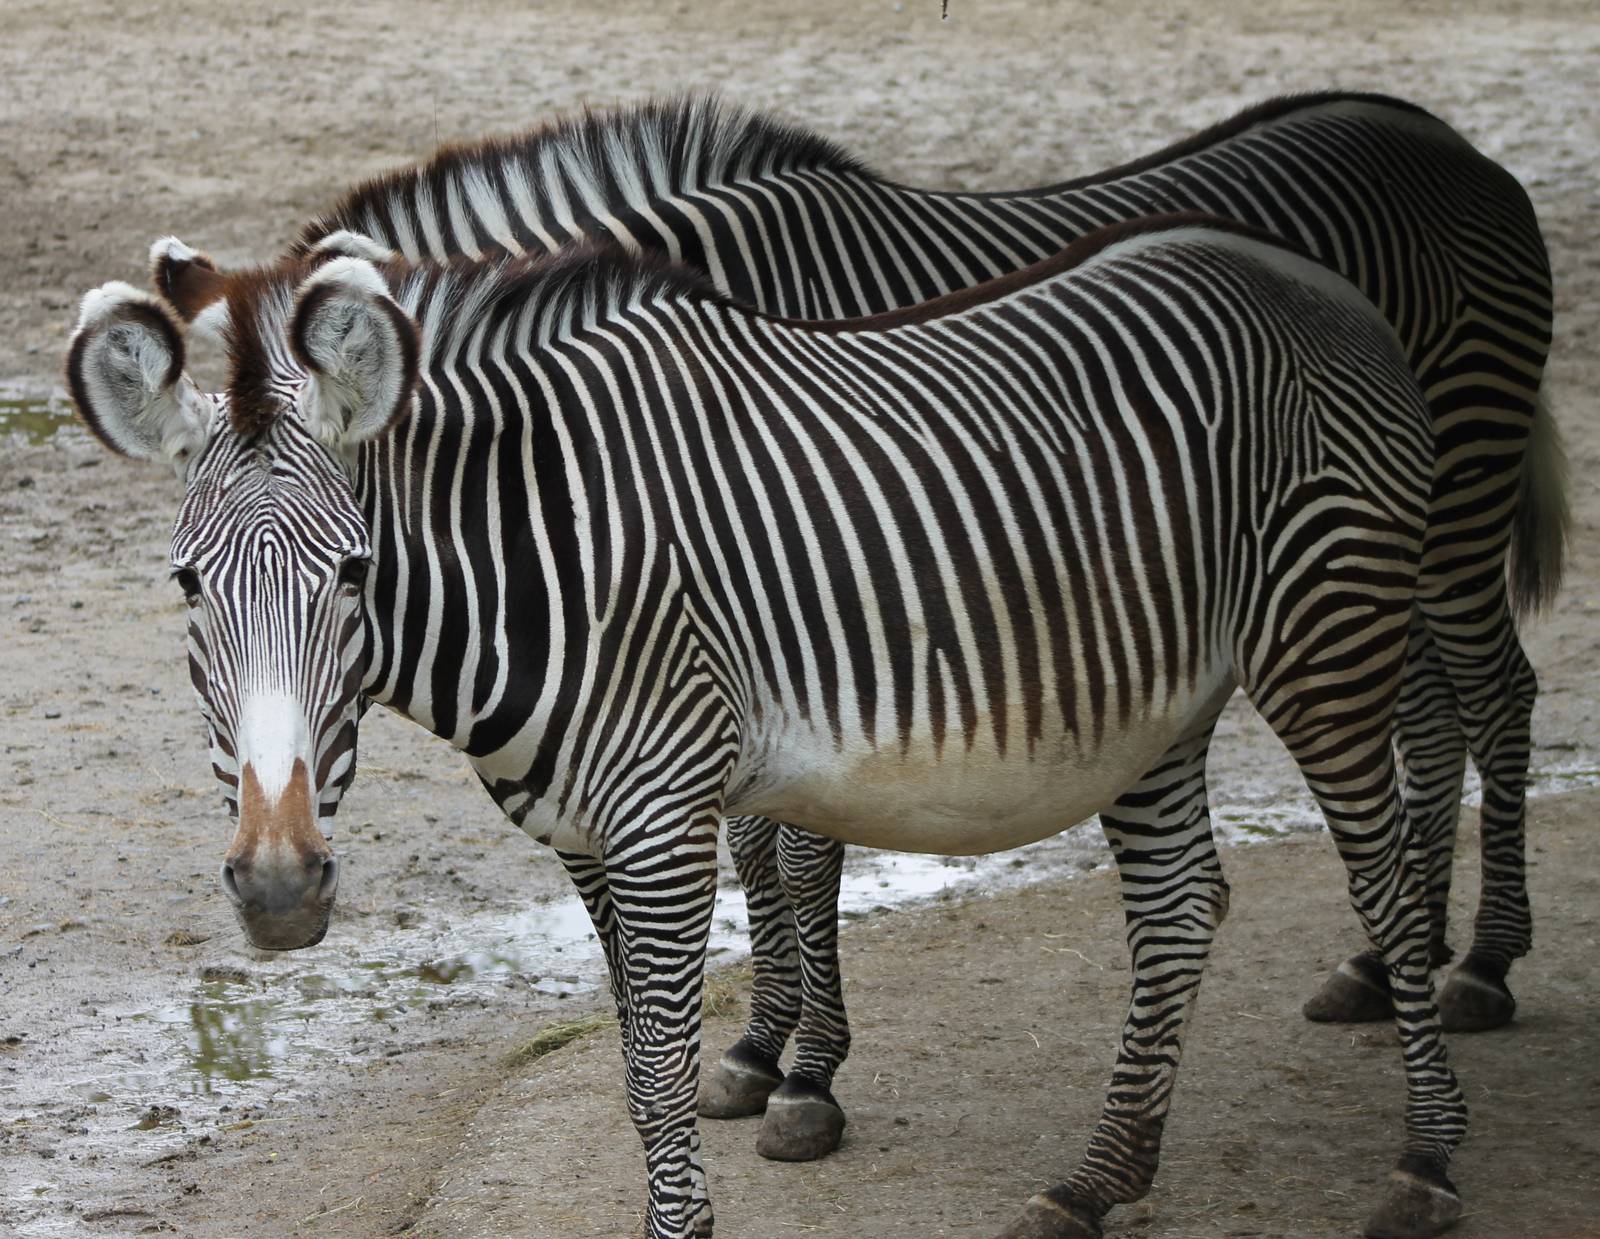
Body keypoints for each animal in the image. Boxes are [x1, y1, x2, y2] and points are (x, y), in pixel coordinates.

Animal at [147, 90, 1561, 1161]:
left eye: (349, 575)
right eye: (187, 585)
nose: (277, 882)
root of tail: (1445, 139)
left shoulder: (814, 603)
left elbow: (796, 851)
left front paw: (801, 1072)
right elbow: (763, 843)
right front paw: (762, 1044)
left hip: (1454, 490)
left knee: (1493, 692)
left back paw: (1481, 967)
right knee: (1428, 714)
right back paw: (1384, 965)